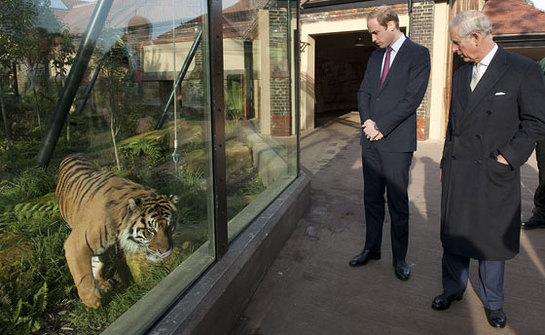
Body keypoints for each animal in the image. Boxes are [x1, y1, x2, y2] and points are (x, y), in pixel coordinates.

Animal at [56, 154, 177, 308]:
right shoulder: (76, 244)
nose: (166, 252)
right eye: (150, 230)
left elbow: (97, 263)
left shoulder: (103, 248)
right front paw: (92, 301)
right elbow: (82, 274)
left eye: (170, 226)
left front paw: (99, 286)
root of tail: (72, 154)